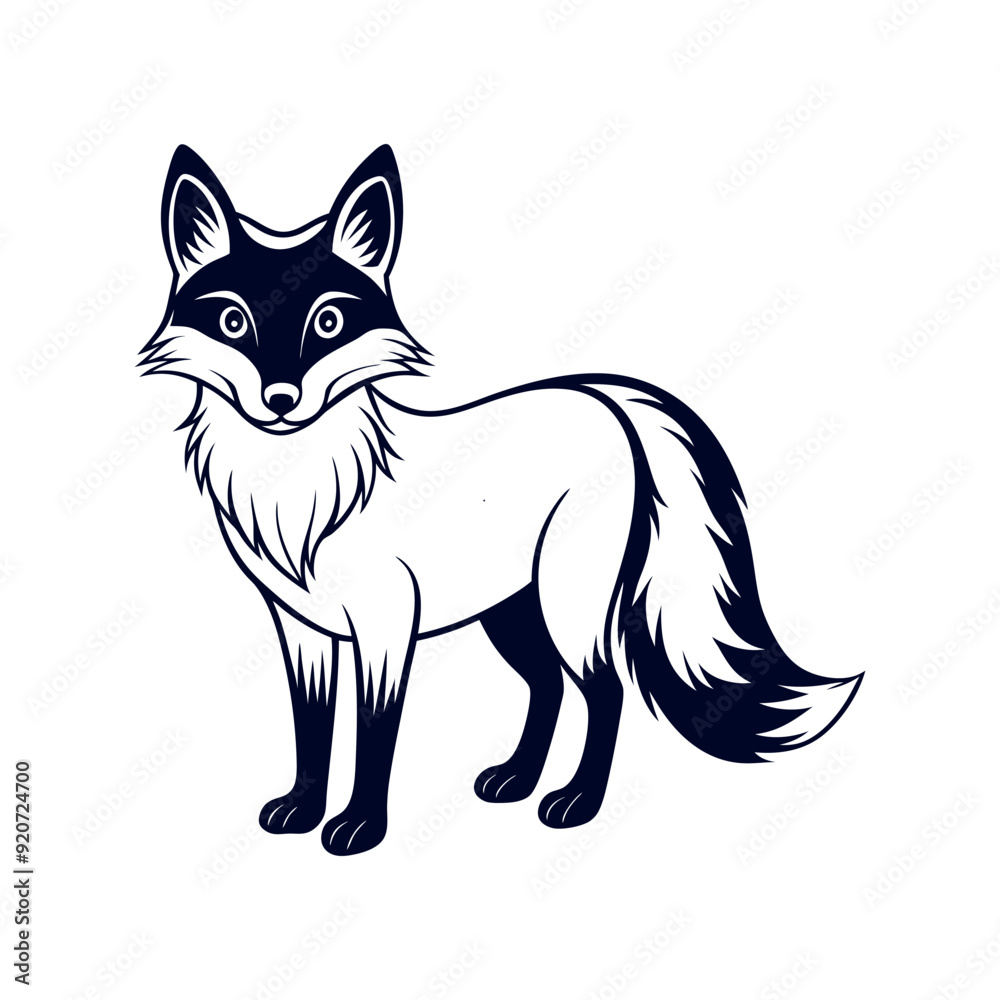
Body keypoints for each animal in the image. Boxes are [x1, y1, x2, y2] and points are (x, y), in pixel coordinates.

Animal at [141, 143, 862, 855]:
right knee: (548, 685)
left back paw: (575, 802)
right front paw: (303, 808)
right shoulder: (302, 629)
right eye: (233, 321)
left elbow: (374, 733)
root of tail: (603, 395)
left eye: (328, 322)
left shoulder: (386, 624)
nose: (281, 400)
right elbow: (311, 729)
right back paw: (516, 778)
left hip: (569, 607)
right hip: (512, 610)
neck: (304, 491)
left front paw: (360, 827)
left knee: (605, 689)